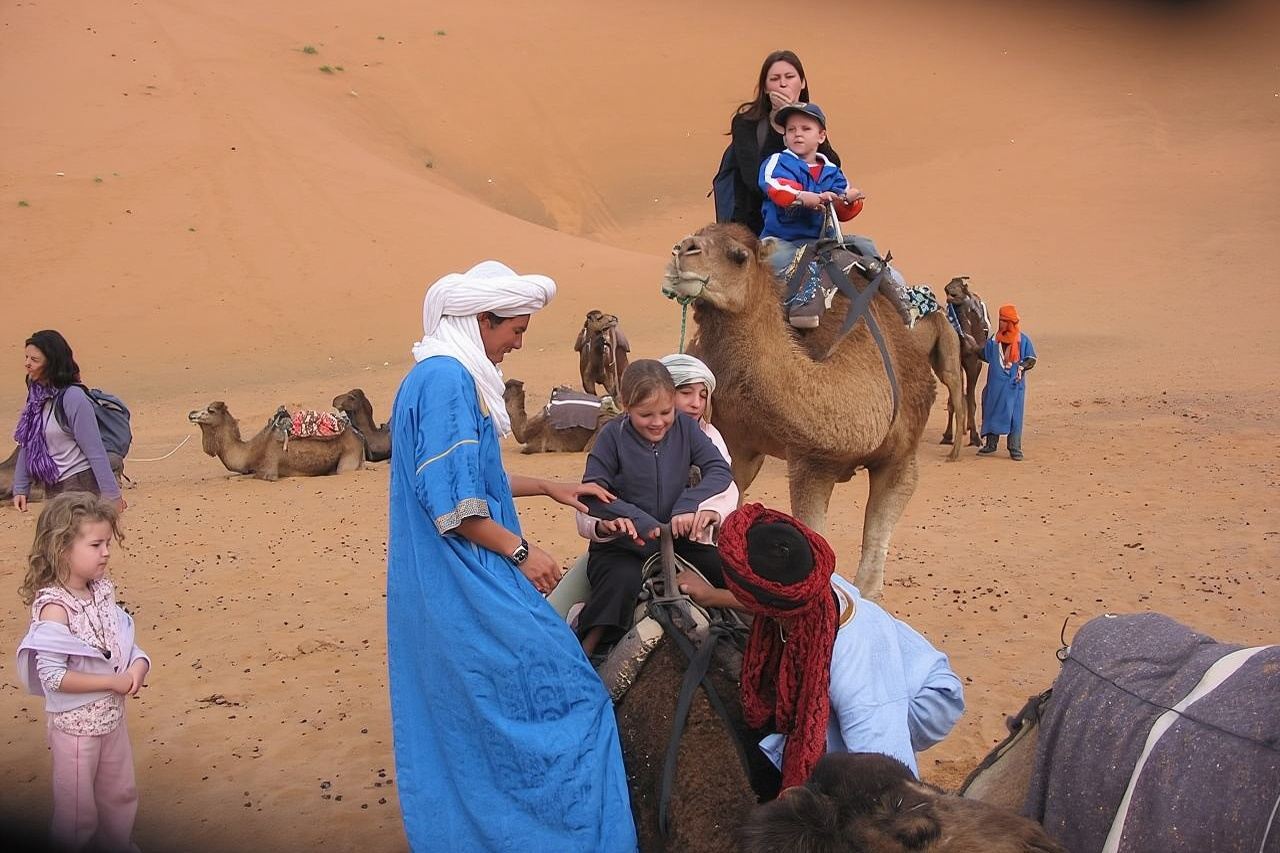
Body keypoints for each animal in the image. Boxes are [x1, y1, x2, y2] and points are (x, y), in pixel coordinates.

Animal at [188, 401, 364, 480]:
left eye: (210, 410)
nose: (191, 413)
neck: (250, 452)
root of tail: (358, 435)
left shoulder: (269, 469)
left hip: (349, 455)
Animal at [943, 276, 990, 447]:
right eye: (948, 290)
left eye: (958, 290)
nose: (950, 290)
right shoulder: (955, 363)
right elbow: (953, 400)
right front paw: (948, 435)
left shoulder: (974, 363)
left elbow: (970, 399)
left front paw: (975, 437)